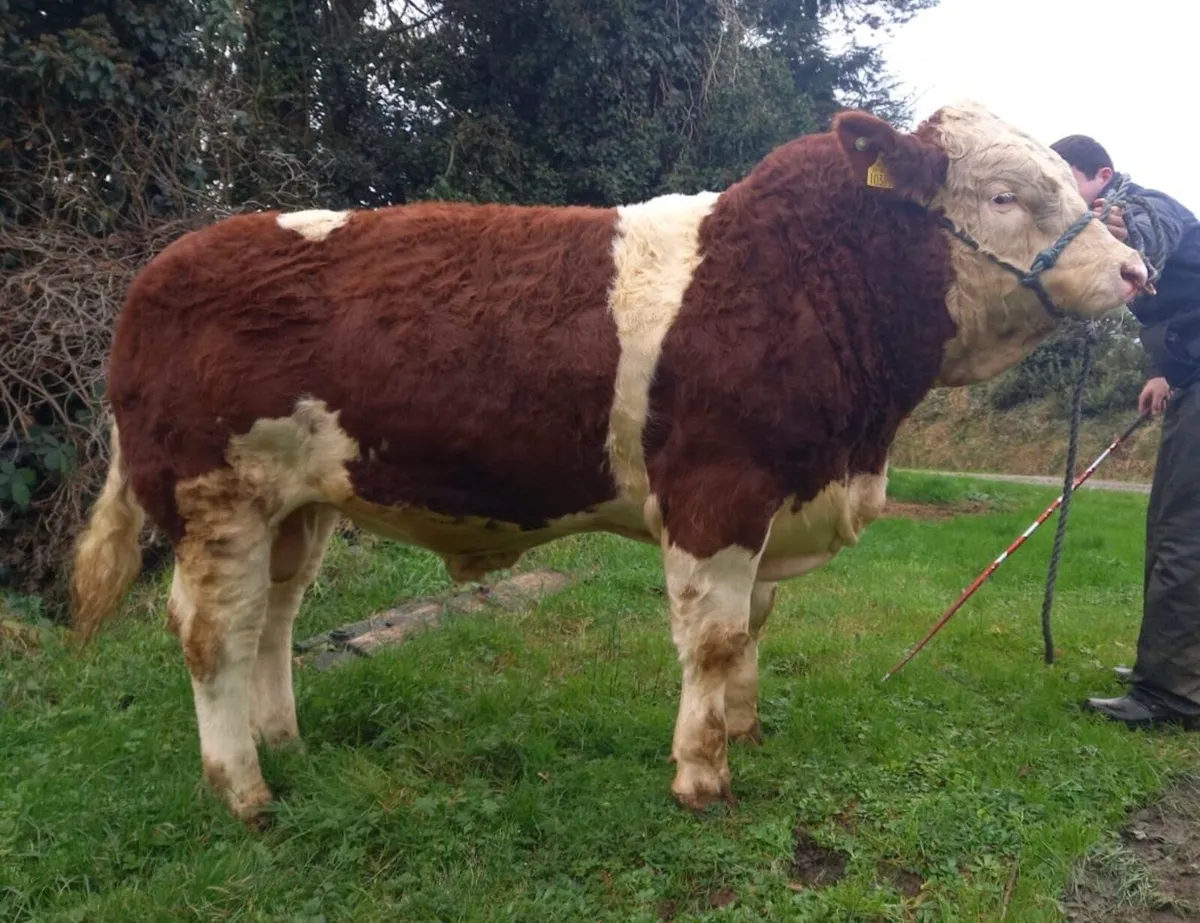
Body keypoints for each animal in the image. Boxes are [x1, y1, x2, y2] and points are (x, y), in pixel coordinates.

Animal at [70, 100, 1148, 823]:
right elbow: (714, 638)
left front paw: (744, 728)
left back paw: (283, 739)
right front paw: (702, 775)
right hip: (214, 497)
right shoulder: (718, 491)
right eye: (1006, 193)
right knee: (214, 630)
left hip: (300, 501)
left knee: (275, 618)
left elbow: (754, 628)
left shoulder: (773, 501)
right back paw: (243, 787)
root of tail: (161, 268)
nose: (1139, 270)